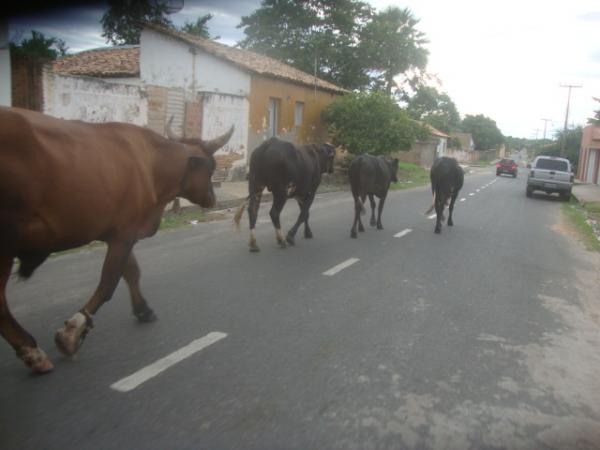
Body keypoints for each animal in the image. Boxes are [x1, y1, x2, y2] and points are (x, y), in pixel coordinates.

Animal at [0, 108, 233, 372]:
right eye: (211, 167)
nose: (213, 199)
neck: (152, 164)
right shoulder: (124, 234)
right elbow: (109, 283)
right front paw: (73, 332)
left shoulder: (122, 232)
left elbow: (131, 272)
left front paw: (143, 310)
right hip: (5, 239)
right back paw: (32, 351)